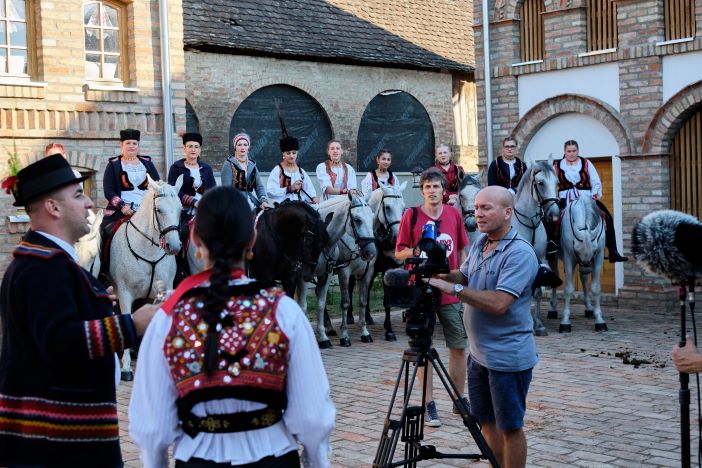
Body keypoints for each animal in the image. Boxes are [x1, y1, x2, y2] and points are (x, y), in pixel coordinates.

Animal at [512, 161, 560, 336]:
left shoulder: (540, 258)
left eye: (557, 182)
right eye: (540, 183)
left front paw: (538, 324)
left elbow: (538, 291)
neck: (529, 223)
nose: (554, 215)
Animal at [552, 196, 608, 334]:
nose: (587, 268)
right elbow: (568, 289)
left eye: (594, 250)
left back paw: (588, 308)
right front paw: (565, 322)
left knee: (583, 279)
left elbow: (596, 288)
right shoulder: (569, 257)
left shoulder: (598, 257)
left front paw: (599, 320)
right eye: (576, 251)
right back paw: (553, 309)